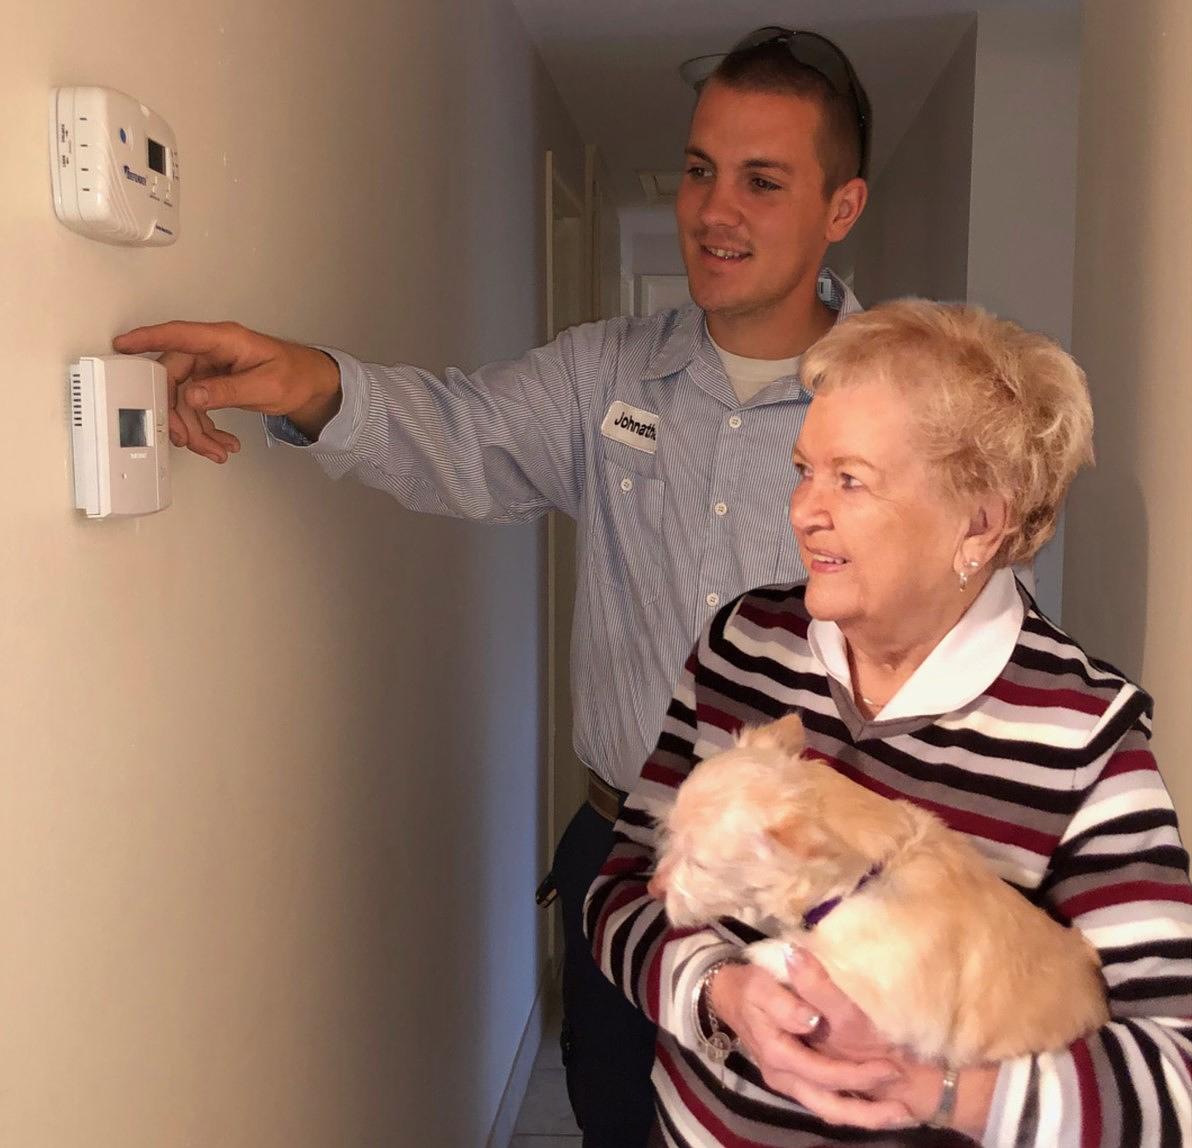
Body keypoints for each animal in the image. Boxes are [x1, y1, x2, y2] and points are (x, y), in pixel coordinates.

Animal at [653, 715, 1106, 1063]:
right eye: (669, 834)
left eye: (698, 863)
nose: (654, 888)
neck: (867, 877)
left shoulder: (900, 1008)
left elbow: (802, 951)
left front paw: (762, 951)